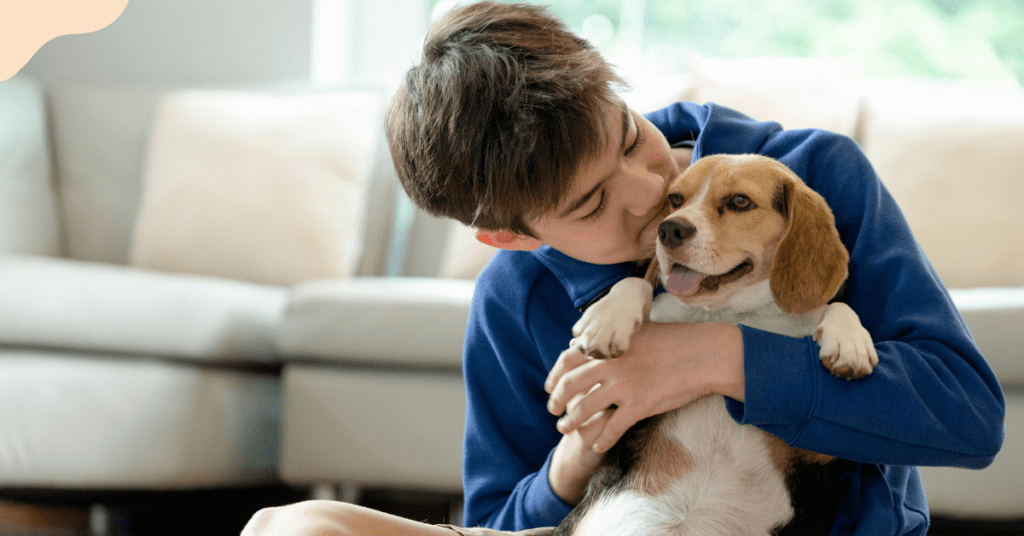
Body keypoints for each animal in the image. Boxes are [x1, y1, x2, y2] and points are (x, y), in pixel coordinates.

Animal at [557, 152, 876, 532]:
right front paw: (607, 319)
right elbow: (638, 284)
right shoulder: (619, 413)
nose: (669, 230)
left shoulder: (817, 451)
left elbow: (837, 306)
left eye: (739, 201)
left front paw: (850, 343)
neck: (733, 313)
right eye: (675, 199)